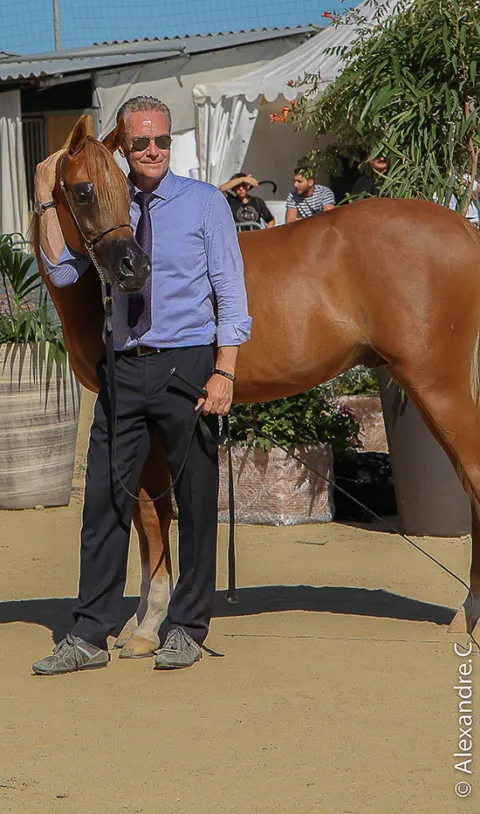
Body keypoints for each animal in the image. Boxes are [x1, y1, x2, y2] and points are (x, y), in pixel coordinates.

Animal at [35, 115, 480, 656]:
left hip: (439, 385)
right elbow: (150, 518)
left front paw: (146, 627)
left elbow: (153, 517)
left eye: (124, 189)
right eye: (83, 191)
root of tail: (463, 227)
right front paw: (140, 623)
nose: (133, 268)